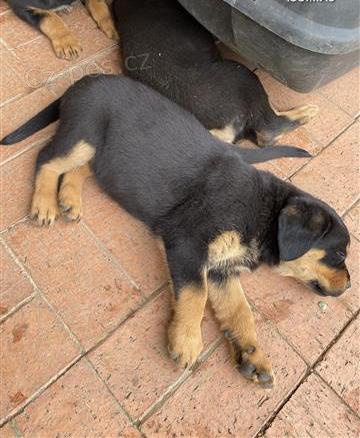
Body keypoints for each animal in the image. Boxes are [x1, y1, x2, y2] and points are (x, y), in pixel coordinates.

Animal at [3, 74, 352, 386]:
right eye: (338, 254)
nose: (349, 286)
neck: (262, 214)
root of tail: (83, 81)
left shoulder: (222, 268)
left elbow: (240, 310)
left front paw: (253, 355)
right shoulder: (187, 242)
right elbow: (196, 294)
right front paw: (186, 341)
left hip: (103, 151)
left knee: (82, 168)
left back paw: (70, 198)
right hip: (84, 133)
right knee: (47, 159)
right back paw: (45, 204)